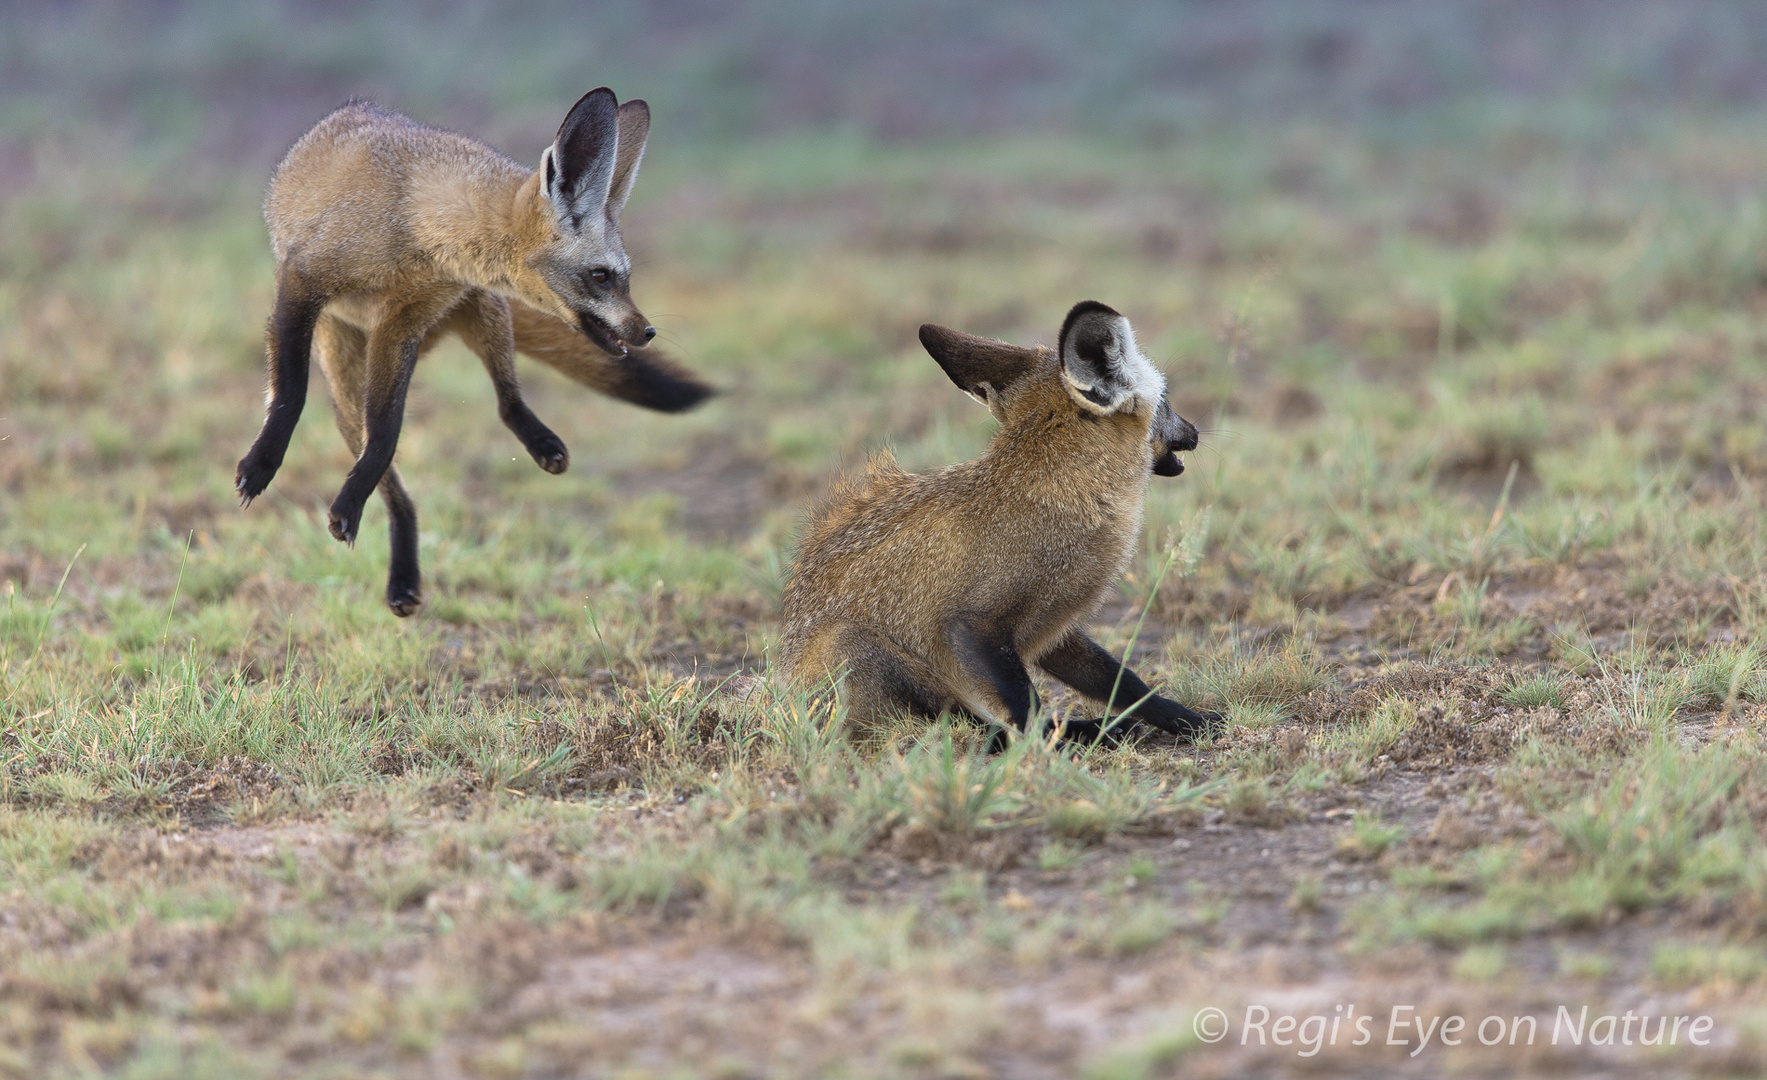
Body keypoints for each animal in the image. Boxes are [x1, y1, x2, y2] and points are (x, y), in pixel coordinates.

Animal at [235, 91, 710, 618]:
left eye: (625, 277)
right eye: (602, 276)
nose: (646, 331)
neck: (415, 223)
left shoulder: (402, 324)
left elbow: (386, 436)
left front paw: (346, 500)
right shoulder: (304, 282)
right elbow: (291, 395)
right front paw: (262, 464)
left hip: (483, 313)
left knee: (506, 401)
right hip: (343, 379)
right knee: (394, 482)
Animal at [781, 300, 1222, 749]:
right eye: (1166, 399)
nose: (1195, 431)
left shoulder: (1051, 626)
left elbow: (1123, 681)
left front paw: (1184, 718)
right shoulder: (975, 624)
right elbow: (1029, 713)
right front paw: (1052, 751)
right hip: (859, 648)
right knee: (974, 728)